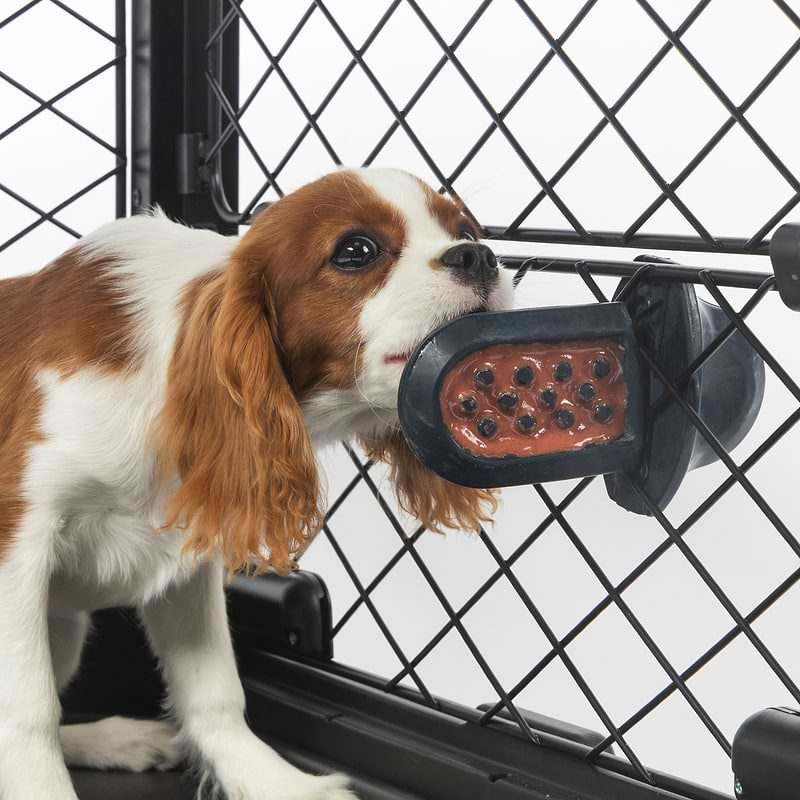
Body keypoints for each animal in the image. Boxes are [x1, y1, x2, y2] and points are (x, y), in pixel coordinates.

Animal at [0, 166, 512, 796]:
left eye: (465, 231)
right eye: (356, 251)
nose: (478, 256)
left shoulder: (192, 549)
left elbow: (215, 692)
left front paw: (273, 781)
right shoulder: (20, 541)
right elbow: (28, 708)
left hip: (66, 631)